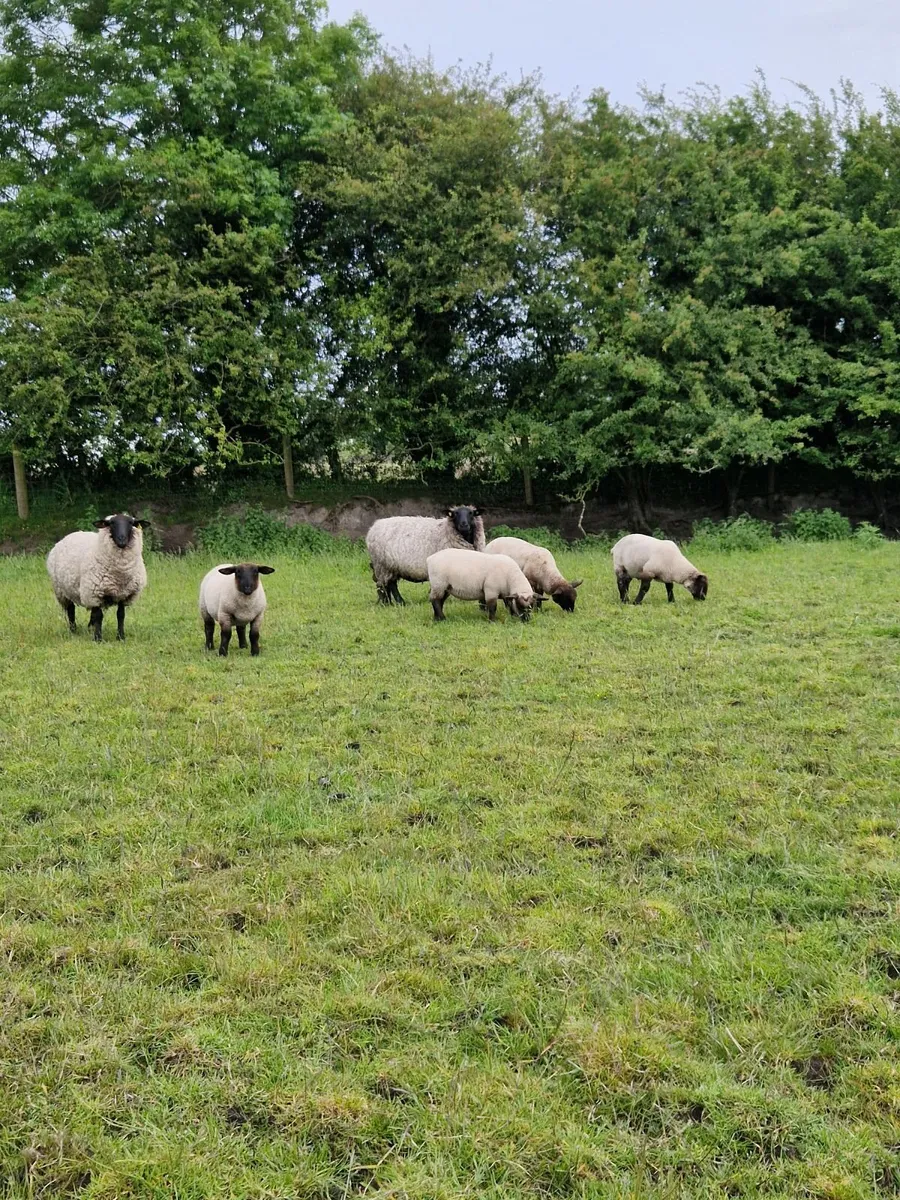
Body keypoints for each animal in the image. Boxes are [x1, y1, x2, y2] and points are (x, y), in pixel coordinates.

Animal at [46, 513, 148, 641]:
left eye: (130, 523)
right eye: (111, 524)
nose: (122, 539)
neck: (120, 574)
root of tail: (70, 534)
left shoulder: (124, 594)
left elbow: (120, 615)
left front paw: (121, 637)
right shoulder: (94, 592)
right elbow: (99, 616)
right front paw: (98, 638)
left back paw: (90, 627)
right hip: (62, 590)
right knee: (71, 610)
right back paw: (73, 630)